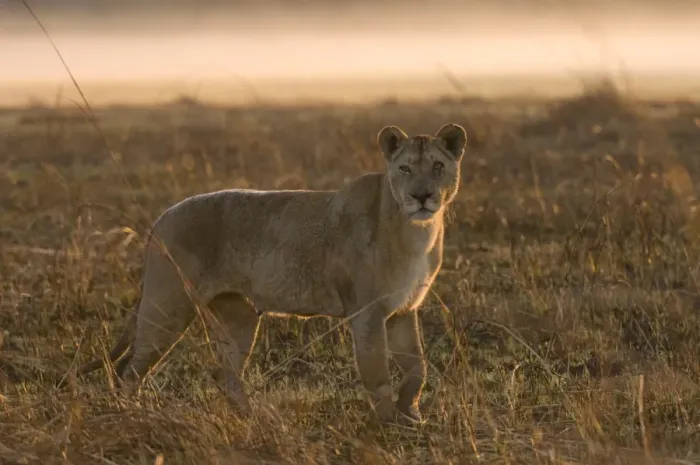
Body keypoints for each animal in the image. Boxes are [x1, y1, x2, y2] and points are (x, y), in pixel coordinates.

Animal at [66, 123, 467, 424]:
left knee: (224, 373)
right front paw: (388, 424)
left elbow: (417, 368)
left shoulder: (403, 309)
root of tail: (161, 218)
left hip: (238, 314)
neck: (416, 230)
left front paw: (412, 415)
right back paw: (132, 416)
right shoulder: (367, 312)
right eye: (404, 169)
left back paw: (255, 419)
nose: (421, 196)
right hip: (168, 305)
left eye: (437, 167)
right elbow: (378, 373)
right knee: (129, 370)